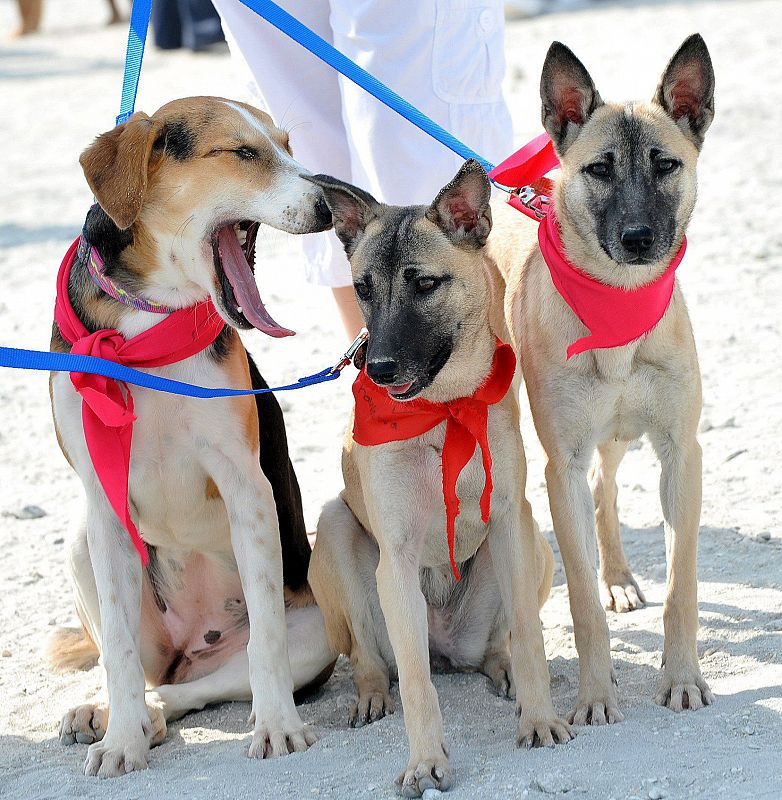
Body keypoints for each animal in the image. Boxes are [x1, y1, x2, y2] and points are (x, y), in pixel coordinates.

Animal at [49, 98, 336, 776]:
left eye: (287, 145)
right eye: (241, 153)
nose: (330, 205)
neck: (146, 326)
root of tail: (193, 643)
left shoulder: (246, 488)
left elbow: (265, 646)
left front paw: (279, 728)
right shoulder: (102, 503)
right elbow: (119, 653)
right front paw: (120, 742)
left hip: (315, 629)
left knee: (197, 687)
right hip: (81, 540)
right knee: (145, 675)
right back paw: (111, 716)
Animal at [308, 161, 576, 792]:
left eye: (425, 284)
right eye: (363, 288)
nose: (378, 368)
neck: (443, 411)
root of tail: (446, 646)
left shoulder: (509, 523)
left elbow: (530, 638)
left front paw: (540, 718)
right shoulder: (398, 558)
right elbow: (416, 685)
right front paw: (426, 761)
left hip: (533, 542)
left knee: (503, 642)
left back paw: (502, 671)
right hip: (336, 531)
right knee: (372, 661)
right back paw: (371, 697)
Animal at [494, 34, 720, 724]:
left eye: (666, 164)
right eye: (599, 170)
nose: (639, 237)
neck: (616, 304)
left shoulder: (681, 453)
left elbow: (682, 586)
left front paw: (682, 676)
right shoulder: (559, 464)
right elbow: (582, 604)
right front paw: (595, 693)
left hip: (622, 434)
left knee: (606, 486)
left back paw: (618, 577)